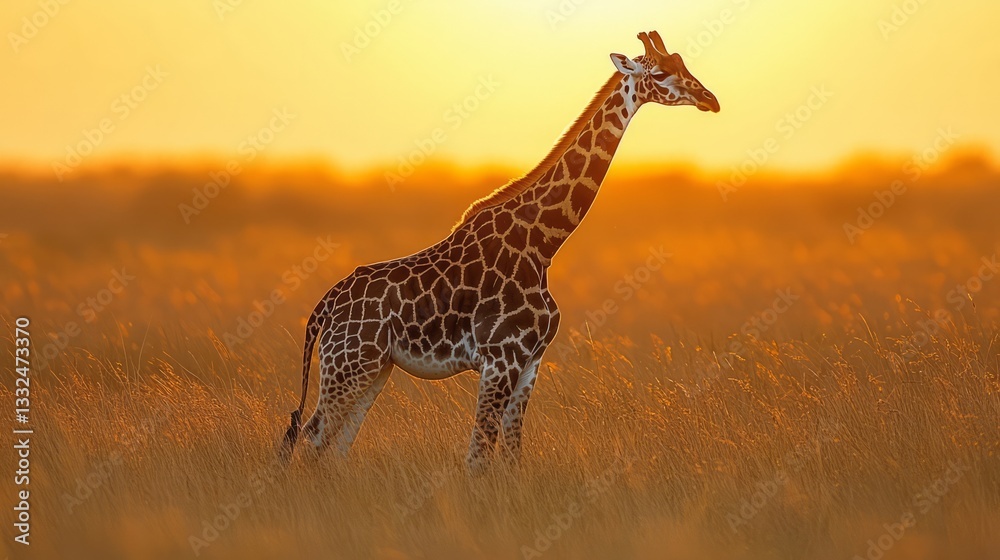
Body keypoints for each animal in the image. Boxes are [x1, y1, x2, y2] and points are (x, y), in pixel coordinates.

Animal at [279, 31, 719, 473]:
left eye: (682, 62)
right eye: (660, 73)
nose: (710, 100)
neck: (543, 243)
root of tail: (325, 306)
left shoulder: (530, 363)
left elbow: (510, 457)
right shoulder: (500, 359)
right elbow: (478, 458)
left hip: (374, 368)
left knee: (333, 446)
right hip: (349, 364)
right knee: (310, 437)